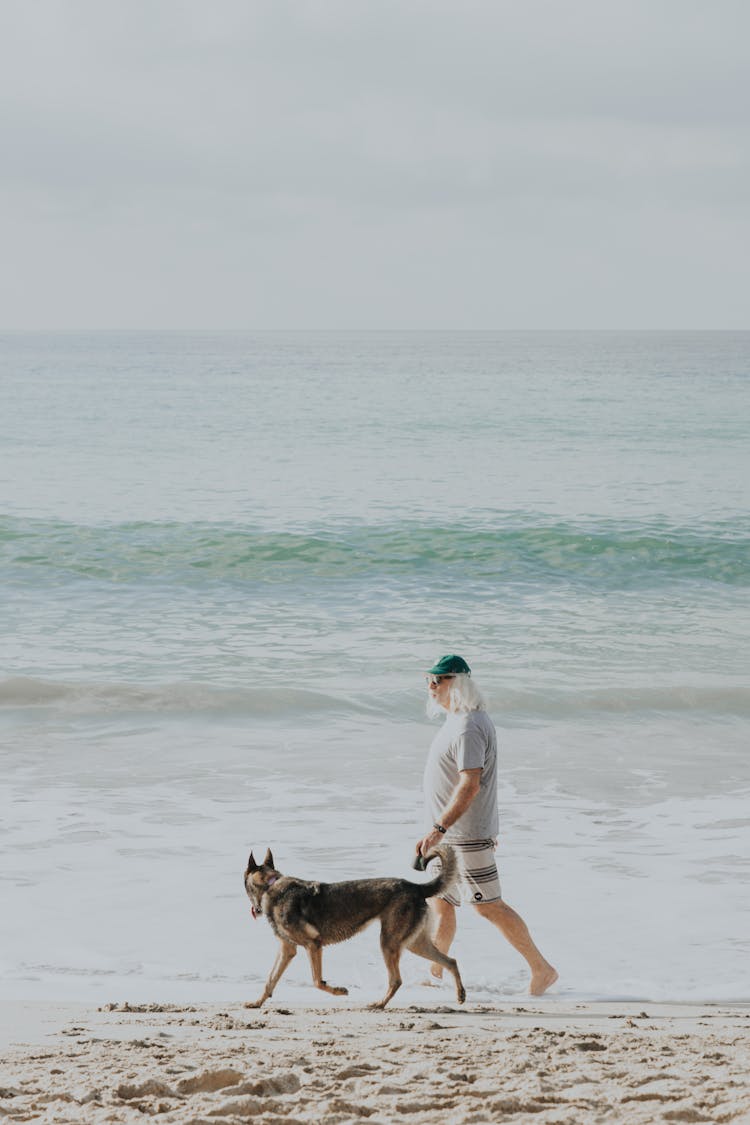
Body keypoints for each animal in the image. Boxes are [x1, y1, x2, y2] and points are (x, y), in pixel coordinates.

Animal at [244, 846, 465, 1012]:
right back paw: (460, 994)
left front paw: (339, 991)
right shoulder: (287, 950)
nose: (254, 911)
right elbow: (270, 979)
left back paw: (379, 1004)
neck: (271, 885)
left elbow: (317, 981)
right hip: (414, 943)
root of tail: (416, 887)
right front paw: (257, 1002)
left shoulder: (313, 945)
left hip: (388, 943)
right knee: (451, 961)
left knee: (396, 980)